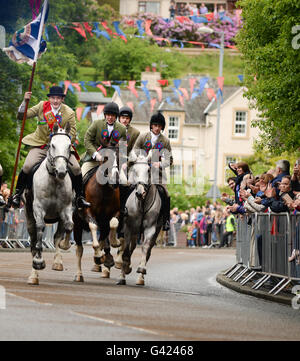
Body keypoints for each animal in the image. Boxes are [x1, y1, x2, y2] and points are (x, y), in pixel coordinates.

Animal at [24, 123, 73, 284]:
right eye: (52, 145)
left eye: (69, 146)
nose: (62, 171)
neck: (54, 180)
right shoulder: (38, 208)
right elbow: (40, 228)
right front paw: (38, 260)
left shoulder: (66, 209)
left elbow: (69, 226)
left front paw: (64, 246)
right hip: (29, 216)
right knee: (33, 239)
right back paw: (34, 273)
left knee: (57, 235)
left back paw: (57, 261)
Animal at [72, 146, 122, 282]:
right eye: (105, 159)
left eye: (119, 158)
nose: (115, 180)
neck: (104, 190)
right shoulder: (88, 212)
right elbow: (93, 227)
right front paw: (98, 253)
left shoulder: (113, 214)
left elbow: (113, 223)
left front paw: (114, 242)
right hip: (77, 225)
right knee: (79, 249)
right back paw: (79, 275)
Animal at [117, 150, 164, 286]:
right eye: (134, 170)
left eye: (148, 170)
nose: (140, 192)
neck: (142, 204)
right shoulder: (128, 228)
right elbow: (126, 251)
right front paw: (122, 276)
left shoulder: (150, 228)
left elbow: (145, 248)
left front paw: (141, 268)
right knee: (129, 248)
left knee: (147, 251)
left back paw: (140, 279)